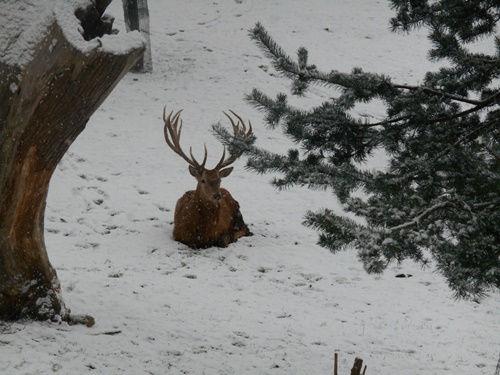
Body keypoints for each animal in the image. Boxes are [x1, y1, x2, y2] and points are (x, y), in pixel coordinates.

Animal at [164, 108, 252, 250]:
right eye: (203, 180)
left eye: (220, 179)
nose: (217, 196)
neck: (202, 232)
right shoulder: (177, 234)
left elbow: (223, 240)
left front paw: (230, 237)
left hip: (237, 211)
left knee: (246, 229)